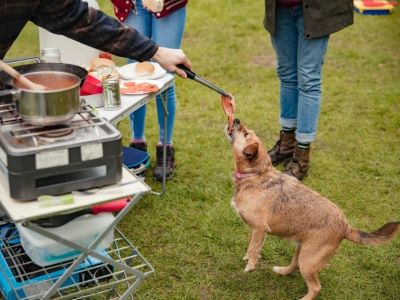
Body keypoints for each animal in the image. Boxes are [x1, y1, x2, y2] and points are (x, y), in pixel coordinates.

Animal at [227, 119, 398, 300]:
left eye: (245, 134)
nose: (236, 120)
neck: (256, 174)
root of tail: (346, 227)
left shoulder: (260, 228)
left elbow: (253, 248)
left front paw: (250, 265)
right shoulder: (255, 230)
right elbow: (252, 245)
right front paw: (248, 258)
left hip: (308, 261)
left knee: (316, 287)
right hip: (302, 251)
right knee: (294, 265)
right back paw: (282, 271)